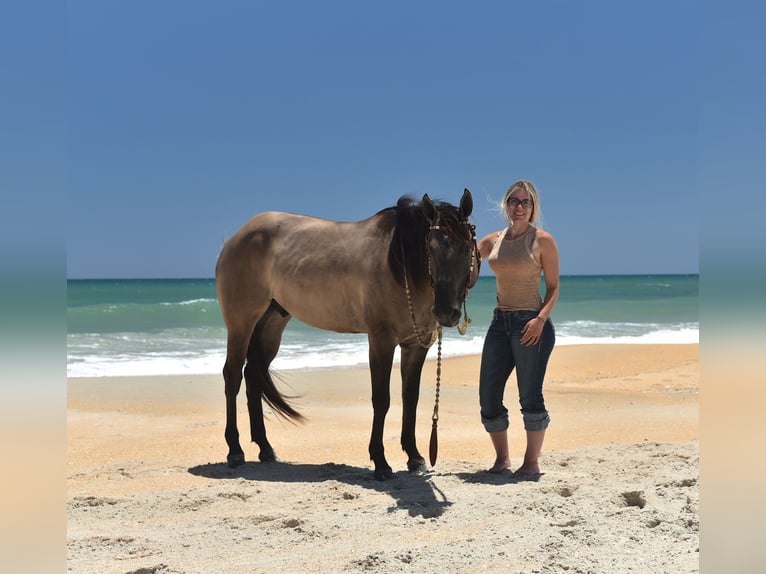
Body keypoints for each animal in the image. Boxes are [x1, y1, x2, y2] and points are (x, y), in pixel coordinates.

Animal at [216, 190, 480, 482]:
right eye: (430, 248)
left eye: (466, 247)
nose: (445, 312)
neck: (400, 265)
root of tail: (237, 236)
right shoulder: (381, 341)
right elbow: (382, 400)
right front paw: (381, 462)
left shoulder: (415, 346)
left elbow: (410, 398)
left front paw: (415, 457)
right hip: (241, 323)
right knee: (232, 376)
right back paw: (235, 451)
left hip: (272, 323)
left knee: (253, 375)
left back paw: (265, 448)